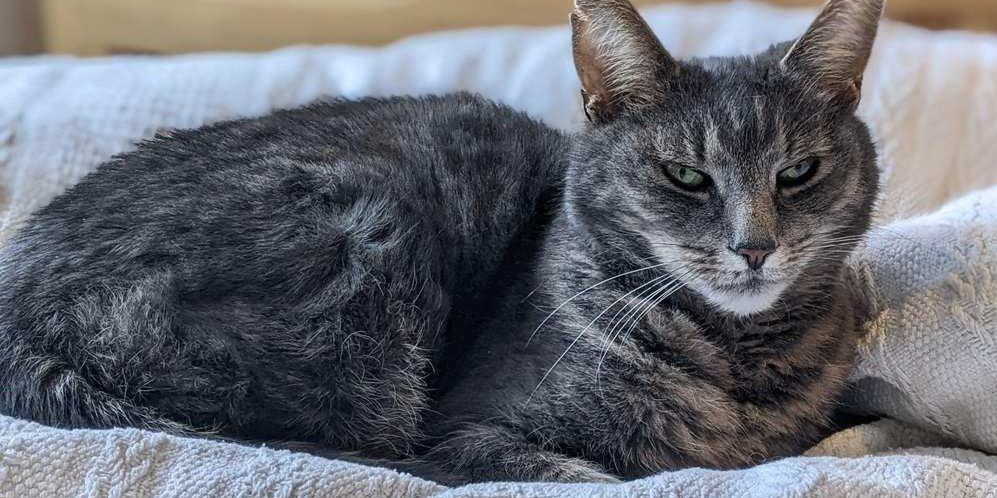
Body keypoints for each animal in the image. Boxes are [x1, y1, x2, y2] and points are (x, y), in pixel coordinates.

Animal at [0, 0, 884, 486]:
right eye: (685, 175)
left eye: (797, 171)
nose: (753, 245)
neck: (740, 364)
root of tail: (16, 302)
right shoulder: (474, 428)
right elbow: (578, 472)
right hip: (370, 248)